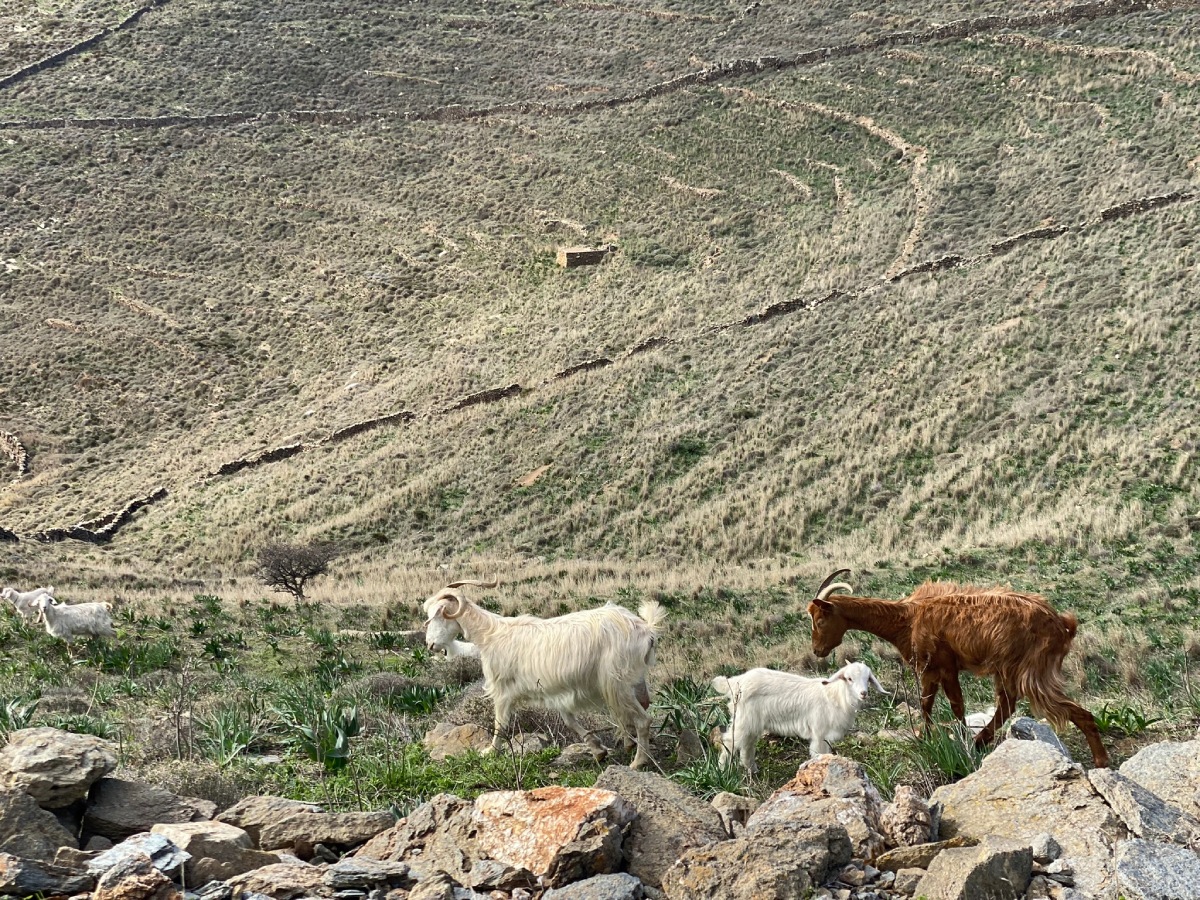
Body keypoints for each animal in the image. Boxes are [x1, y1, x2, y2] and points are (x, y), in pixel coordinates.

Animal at [423, 579, 665, 768]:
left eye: (436, 616)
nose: (430, 645)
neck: (489, 634)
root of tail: (646, 629)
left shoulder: (502, 691)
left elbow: (500, 724)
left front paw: (490, 752)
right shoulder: (555, 689)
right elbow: (569, 721)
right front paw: (597, 750)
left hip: (616, 683)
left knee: (643, 719)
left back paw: (638, 762)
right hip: (633, 682)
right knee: (639, 709)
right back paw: (630, 744)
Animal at [712, 661, 884, 773]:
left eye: (868, 679)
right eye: (849, 678)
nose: (863, 693)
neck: (835, 696)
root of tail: (736, 681)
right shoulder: (819, 733)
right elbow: (819, 753)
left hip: (752, 722)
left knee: (747, 744)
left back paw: (751, 769)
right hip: (743, 720)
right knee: (729, 741)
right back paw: (722, 769)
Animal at [807, 569, 1109, 768]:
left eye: (820, 620)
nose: (817, 650)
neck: (907, 619)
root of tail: (1062, 624)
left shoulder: (943, 665)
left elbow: (955, 704)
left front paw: (959, 741)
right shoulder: (930, 670)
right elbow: (927, 702)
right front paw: (925, 737)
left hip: (1030, 669)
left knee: (1064, 710)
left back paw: (1100, 759)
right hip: (1012, 670)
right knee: (1007, 705)